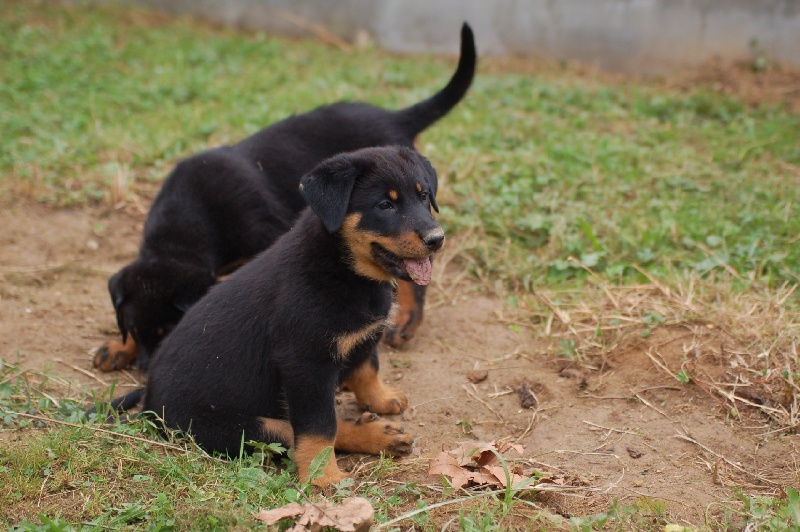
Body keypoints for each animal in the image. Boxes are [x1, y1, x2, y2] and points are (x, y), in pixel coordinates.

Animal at [94, 22, 472, 372]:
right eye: (133, 331)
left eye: (168, 332)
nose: (145, 373)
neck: (188, 221)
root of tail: (394, 116)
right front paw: (119, 348)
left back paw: (407, 317)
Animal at [129, 145, 444, 486]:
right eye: (385, 205)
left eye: (424, 196)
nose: (437, 239)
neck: (343, 267)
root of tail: (148, 401)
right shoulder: (307, 364)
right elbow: (319, 428)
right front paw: (324, 478)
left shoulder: (362, 336)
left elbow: (366, 367)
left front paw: (382, 398)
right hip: (243, 428)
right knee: (294, 432)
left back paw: (383, 435)